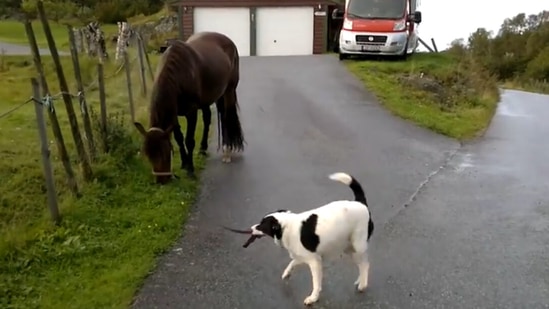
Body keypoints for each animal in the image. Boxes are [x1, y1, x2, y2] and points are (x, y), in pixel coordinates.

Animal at [133, 30, 244, 183]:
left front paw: (190, 170)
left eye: (166, 152)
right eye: (149, 154)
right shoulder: (173, 113)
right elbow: (179, 138)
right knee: (208, 118)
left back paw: (227, 151)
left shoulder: (191, 113)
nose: (161, 181)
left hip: (229, 91)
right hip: (209, 98)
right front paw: (185, 163)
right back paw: (203, 148)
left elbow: (189, 140)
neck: (179, 74)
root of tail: (229, 41)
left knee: (226, 117)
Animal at [246, 172, 374, 304]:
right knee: (361, 264)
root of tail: (361, 203)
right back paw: (360, 280)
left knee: (365, 264)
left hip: (358, 246)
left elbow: (316, 283)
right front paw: (287, 273)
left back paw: (363, 285)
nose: (251, 228)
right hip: (349, 248)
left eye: (262, 225)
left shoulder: (315, 261)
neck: (286, 227)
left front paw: (313, 298)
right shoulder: (302, 256)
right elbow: (292, 263)